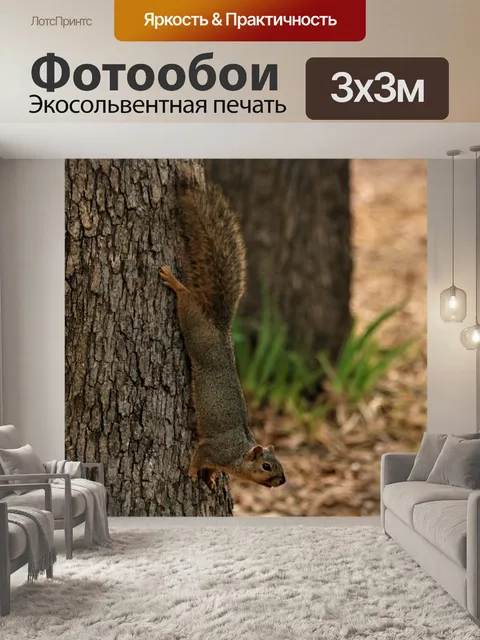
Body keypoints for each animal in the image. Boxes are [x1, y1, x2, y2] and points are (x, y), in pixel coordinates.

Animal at [160, 181, 286, 491]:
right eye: (266, 466)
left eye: (280, 464)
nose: (282, 480)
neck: (238, 455)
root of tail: (220, 329)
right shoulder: (213, 448)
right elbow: (198, 457)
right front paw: (193, 473)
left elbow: (211, 468)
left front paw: (212, 478)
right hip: (196, 330)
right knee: (186, 302)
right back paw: (176, 283)